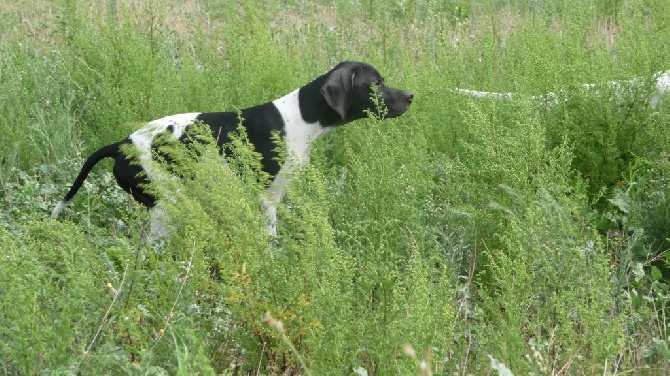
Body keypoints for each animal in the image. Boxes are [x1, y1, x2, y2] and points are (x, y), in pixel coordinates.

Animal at [51, 61, 414, 235]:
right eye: (377, 83)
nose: (411, 96)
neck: (298, 118)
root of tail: (121, 145)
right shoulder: (267, 200)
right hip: (167, 206)